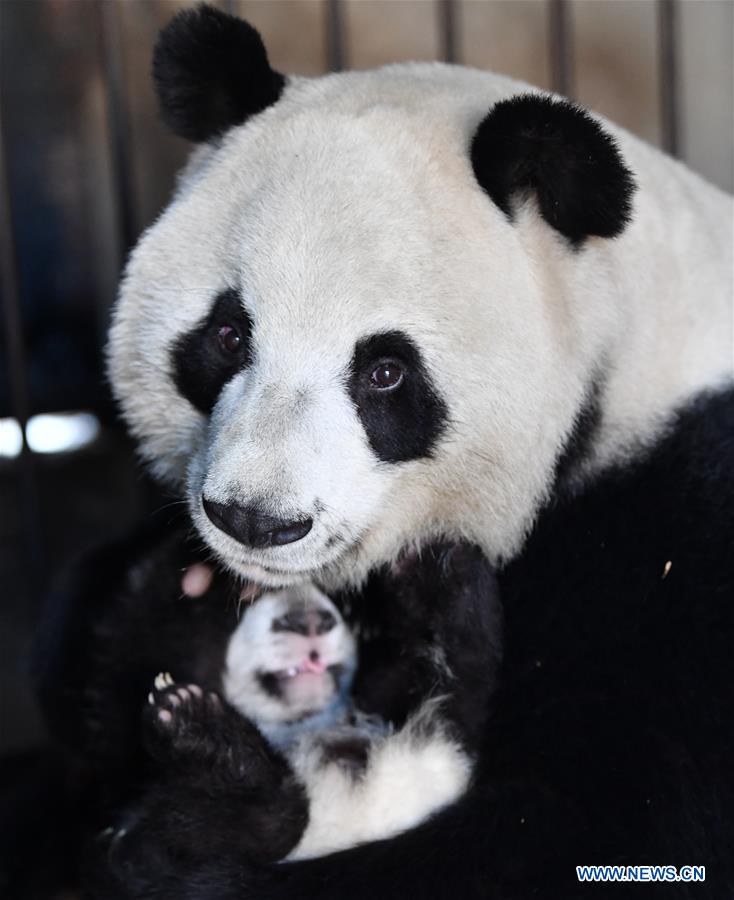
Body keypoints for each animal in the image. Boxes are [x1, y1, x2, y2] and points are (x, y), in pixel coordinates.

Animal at [49, 1, 734, 900]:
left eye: (384, 372)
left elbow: (599, 818)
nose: (256, 521)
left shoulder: (679, 538)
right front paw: (179, 595)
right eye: (228, 335)